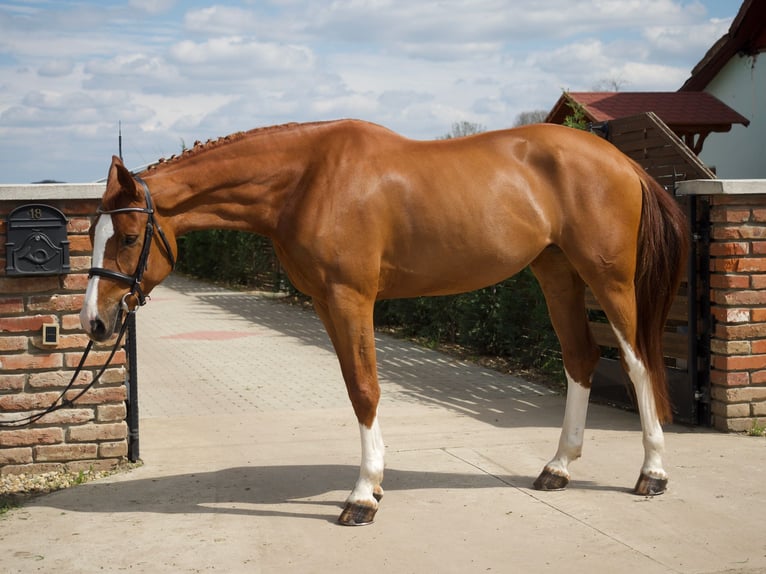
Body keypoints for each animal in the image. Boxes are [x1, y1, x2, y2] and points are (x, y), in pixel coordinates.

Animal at [80, 119, 689, 526]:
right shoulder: (325, 303)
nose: (95, 323)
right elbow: (356, 387)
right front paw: (371, 487)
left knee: (637, 363)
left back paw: (653, 474)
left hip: (608, 278)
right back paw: (558, 468)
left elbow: (365, 389)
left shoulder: (351, 298)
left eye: (128, 237)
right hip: (556, 271)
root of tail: (622, 161)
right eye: (93, 233)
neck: (307, 177)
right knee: (581, 359)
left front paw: (362, 495)